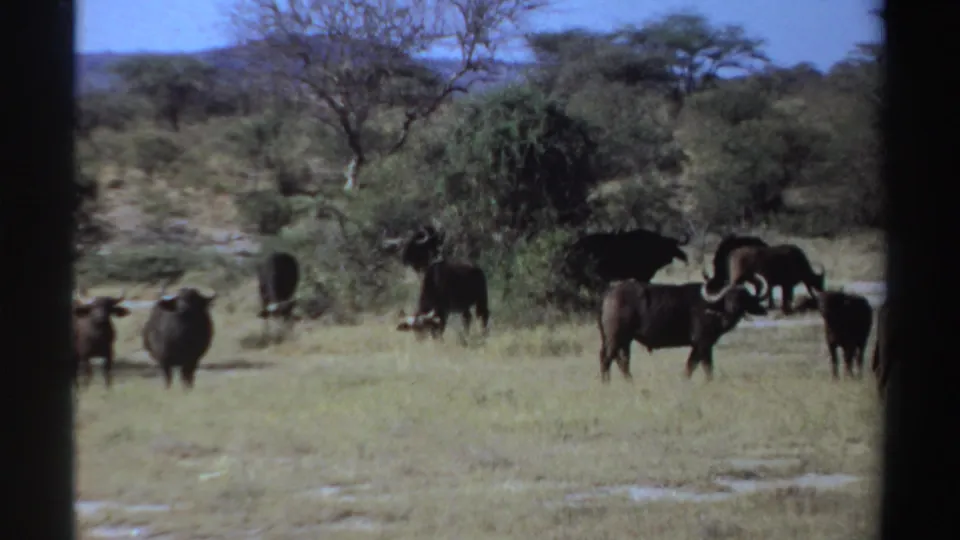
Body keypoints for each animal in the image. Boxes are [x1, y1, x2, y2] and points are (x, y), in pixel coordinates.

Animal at [597, 274, 769, 382]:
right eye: (728, 297)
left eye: (743, 297)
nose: (734, 309)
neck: (714, 309)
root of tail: (610, 293)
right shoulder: (703, 343)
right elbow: (706, 367)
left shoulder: (697, 346)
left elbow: (691, 365)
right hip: (615, 338)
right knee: (607, 358)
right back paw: (606, 383)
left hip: (623, 340)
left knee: (621, 360)